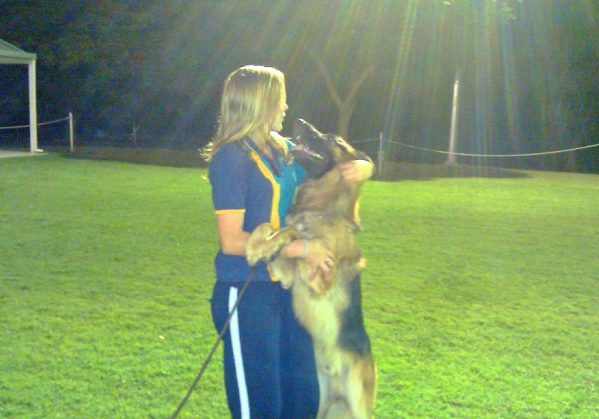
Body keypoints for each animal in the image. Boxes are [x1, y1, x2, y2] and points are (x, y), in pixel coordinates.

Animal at [247, 119, 378, 419]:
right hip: (318, 403)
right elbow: (271, 227)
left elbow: (293, 232)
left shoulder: (320, 279)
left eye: (331, 139)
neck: (324, 211)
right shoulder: (288, 276)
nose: (299, 122)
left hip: (359, 403)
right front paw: (257, 247)